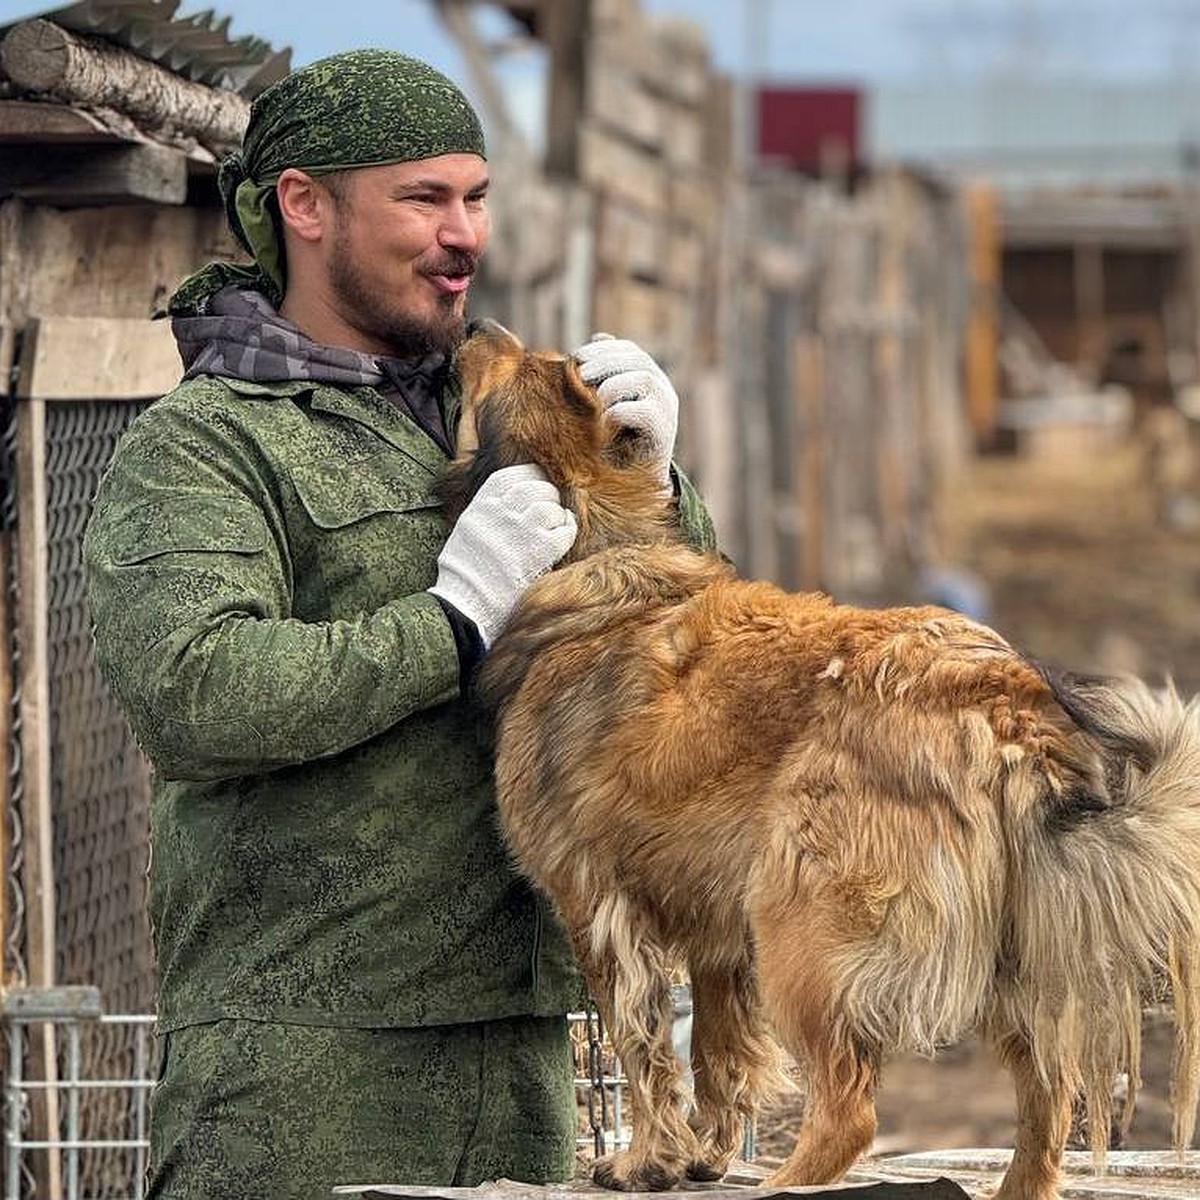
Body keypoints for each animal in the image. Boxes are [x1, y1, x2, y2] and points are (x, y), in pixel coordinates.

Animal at [439, 319, 1200, 1200]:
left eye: (516, 363)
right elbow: (720, 1055)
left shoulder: (600, 905)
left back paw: (783, 1183)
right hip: (1003, 950)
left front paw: (646, 1160)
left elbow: (643, 1048)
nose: (474, 325)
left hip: (800, 923)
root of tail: (999, 697)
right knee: (1049, 1095)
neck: (598, 535)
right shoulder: (717, 938)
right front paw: (704, 1154)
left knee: (850, 1112)